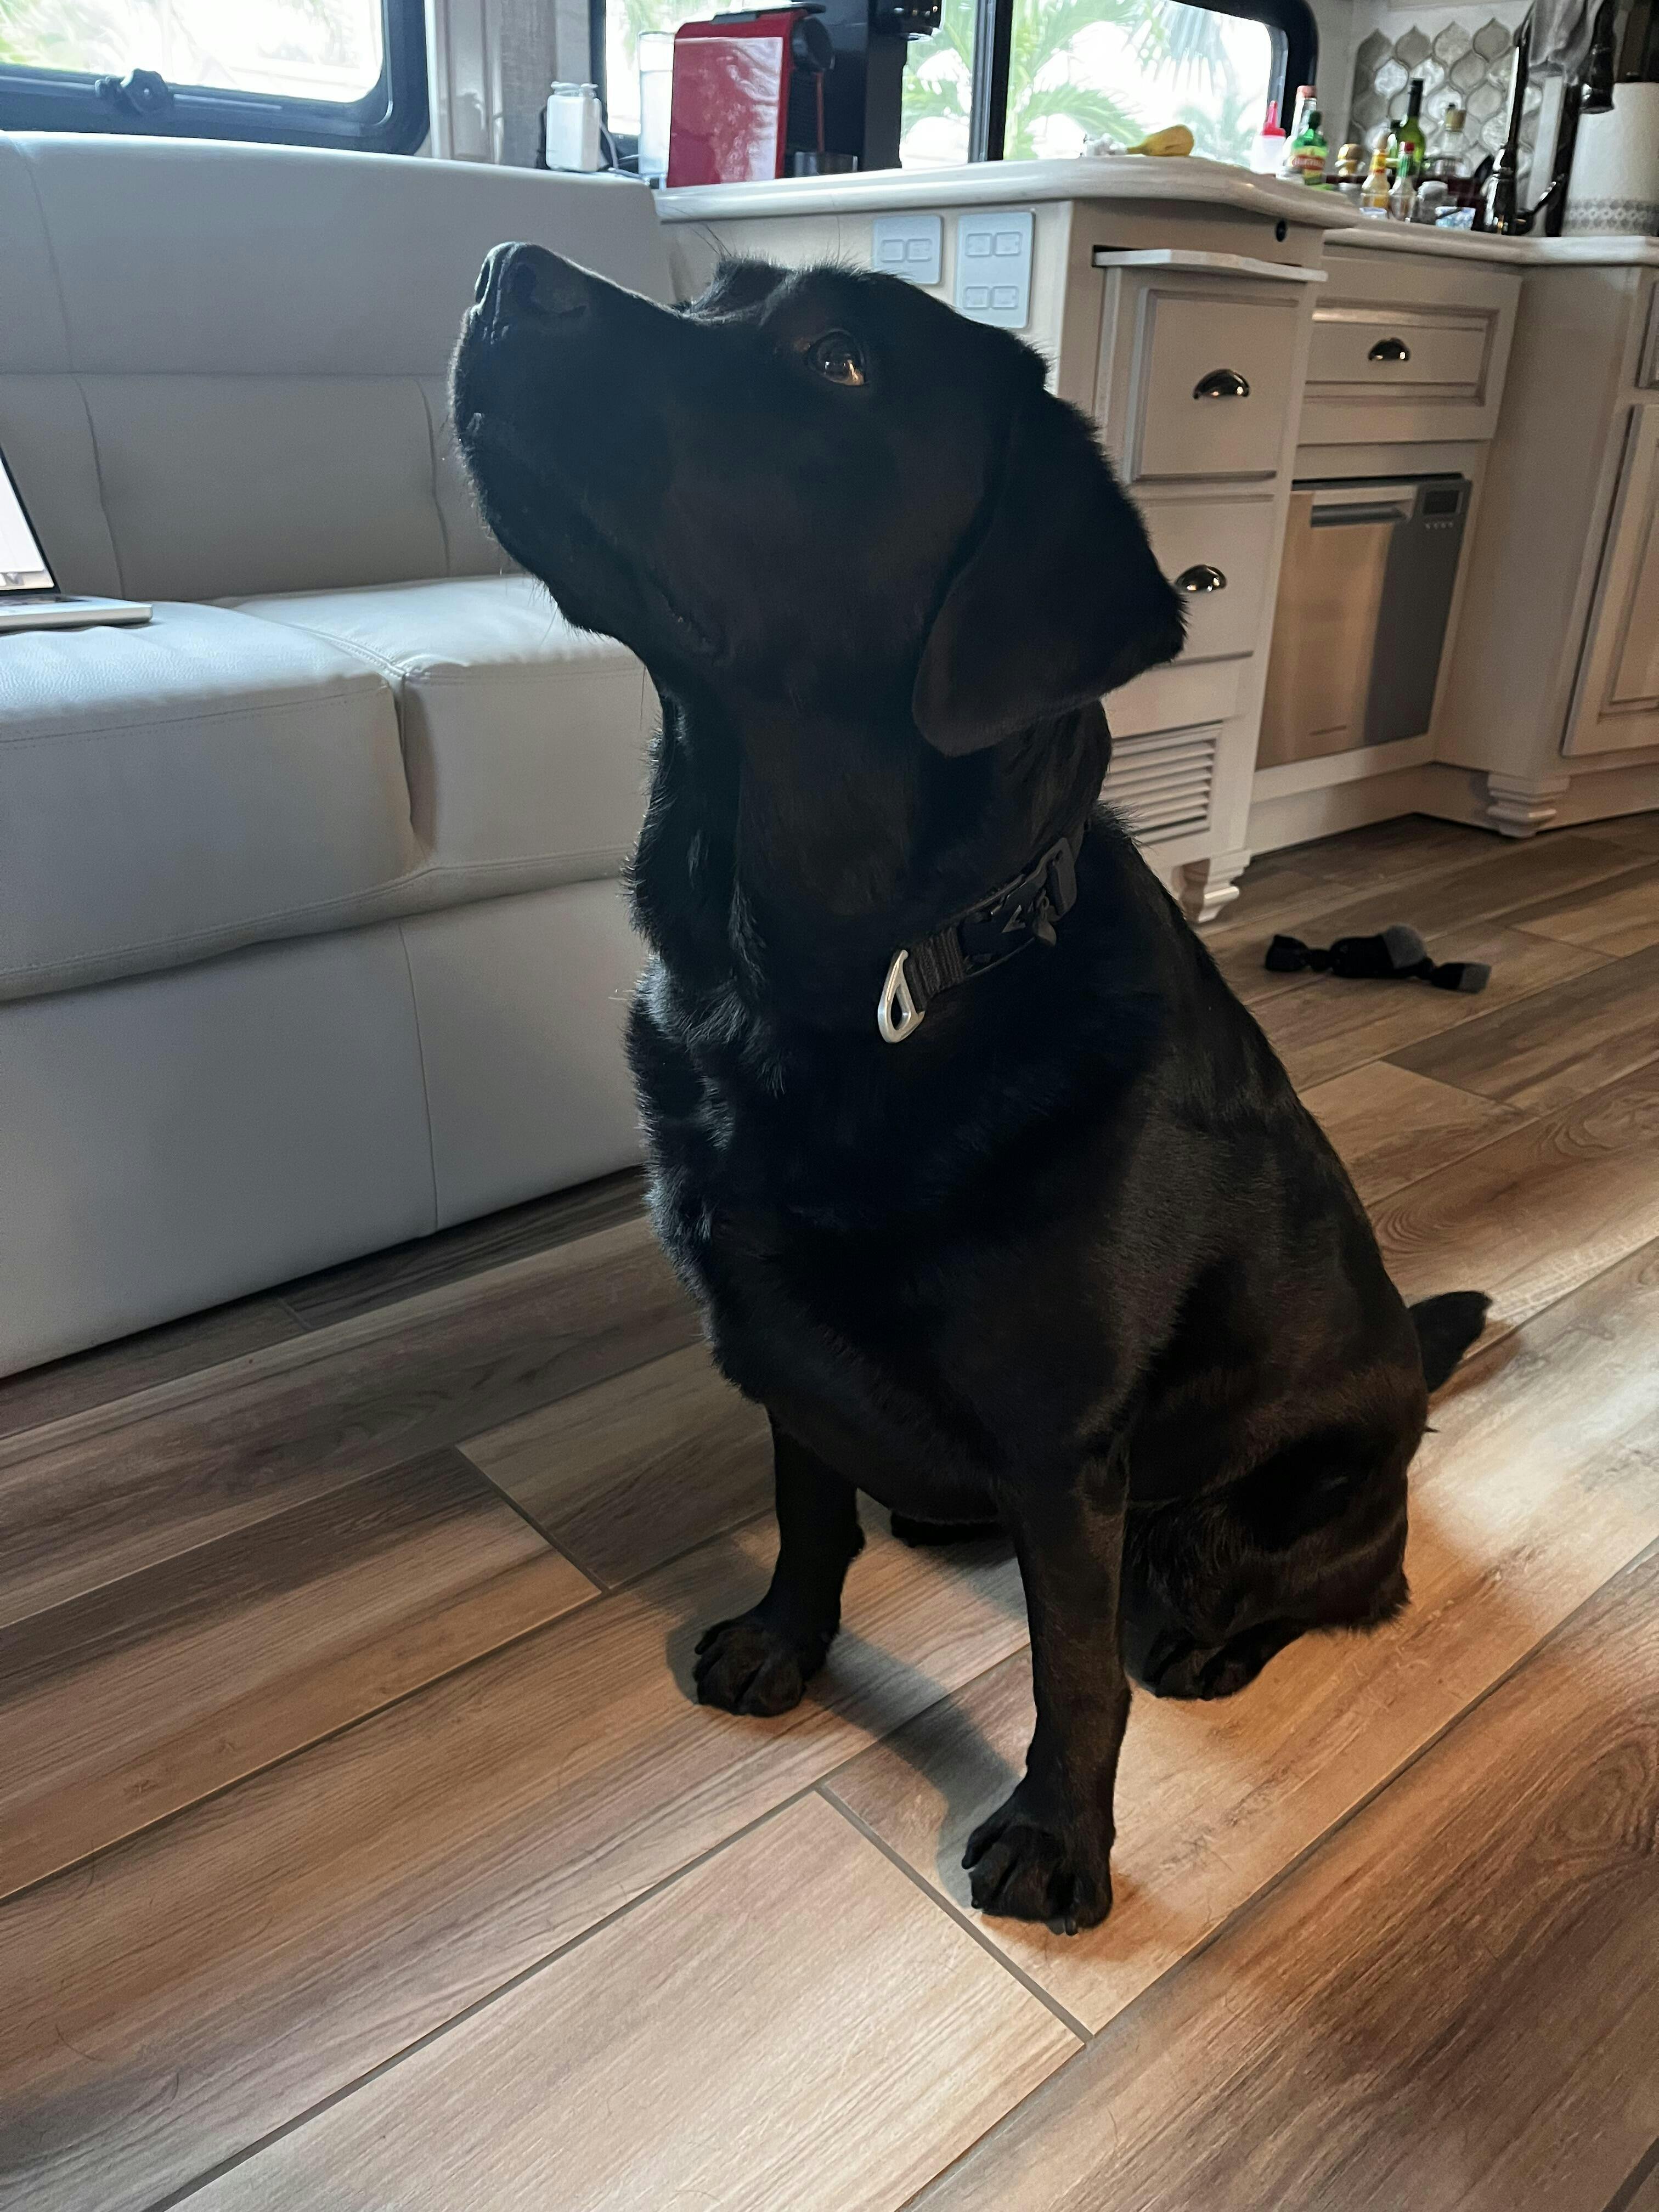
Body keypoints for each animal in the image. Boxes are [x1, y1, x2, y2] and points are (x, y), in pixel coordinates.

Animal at [453, 246, 1489, 1933]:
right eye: (716, 295)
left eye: (836, 365)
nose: (506, 270)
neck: (813, 988)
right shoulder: (786, 1355)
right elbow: (811, 1517)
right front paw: (781, 1645)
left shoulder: (1065, 1451)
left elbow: (1073, 1668)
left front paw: (1061, 1838)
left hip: (1266, 1511)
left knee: (1342, 1587)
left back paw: (1217, 1644)